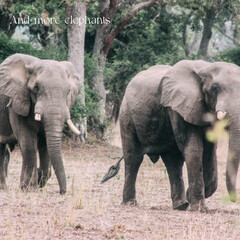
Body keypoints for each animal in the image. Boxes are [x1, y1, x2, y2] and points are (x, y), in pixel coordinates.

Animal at [0, 53, 81, 194]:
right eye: (36, 88)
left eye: (68, 91)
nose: (62, 192)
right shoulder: (17, 101)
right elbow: (28, 144)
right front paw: (29, 188)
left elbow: (46, 143)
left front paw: (38, 180)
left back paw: (3, 187)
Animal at [102, 60, 240, 212]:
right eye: (215, 88)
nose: (234, 199)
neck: (205, 67)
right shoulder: (178, 108)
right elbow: (194, 149)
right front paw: (198, 208)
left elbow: (209, 151)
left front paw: (191, 198)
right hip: (126, 114)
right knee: (133, 158)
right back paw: (130, 203)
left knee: (173, 161)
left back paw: (181, 205)